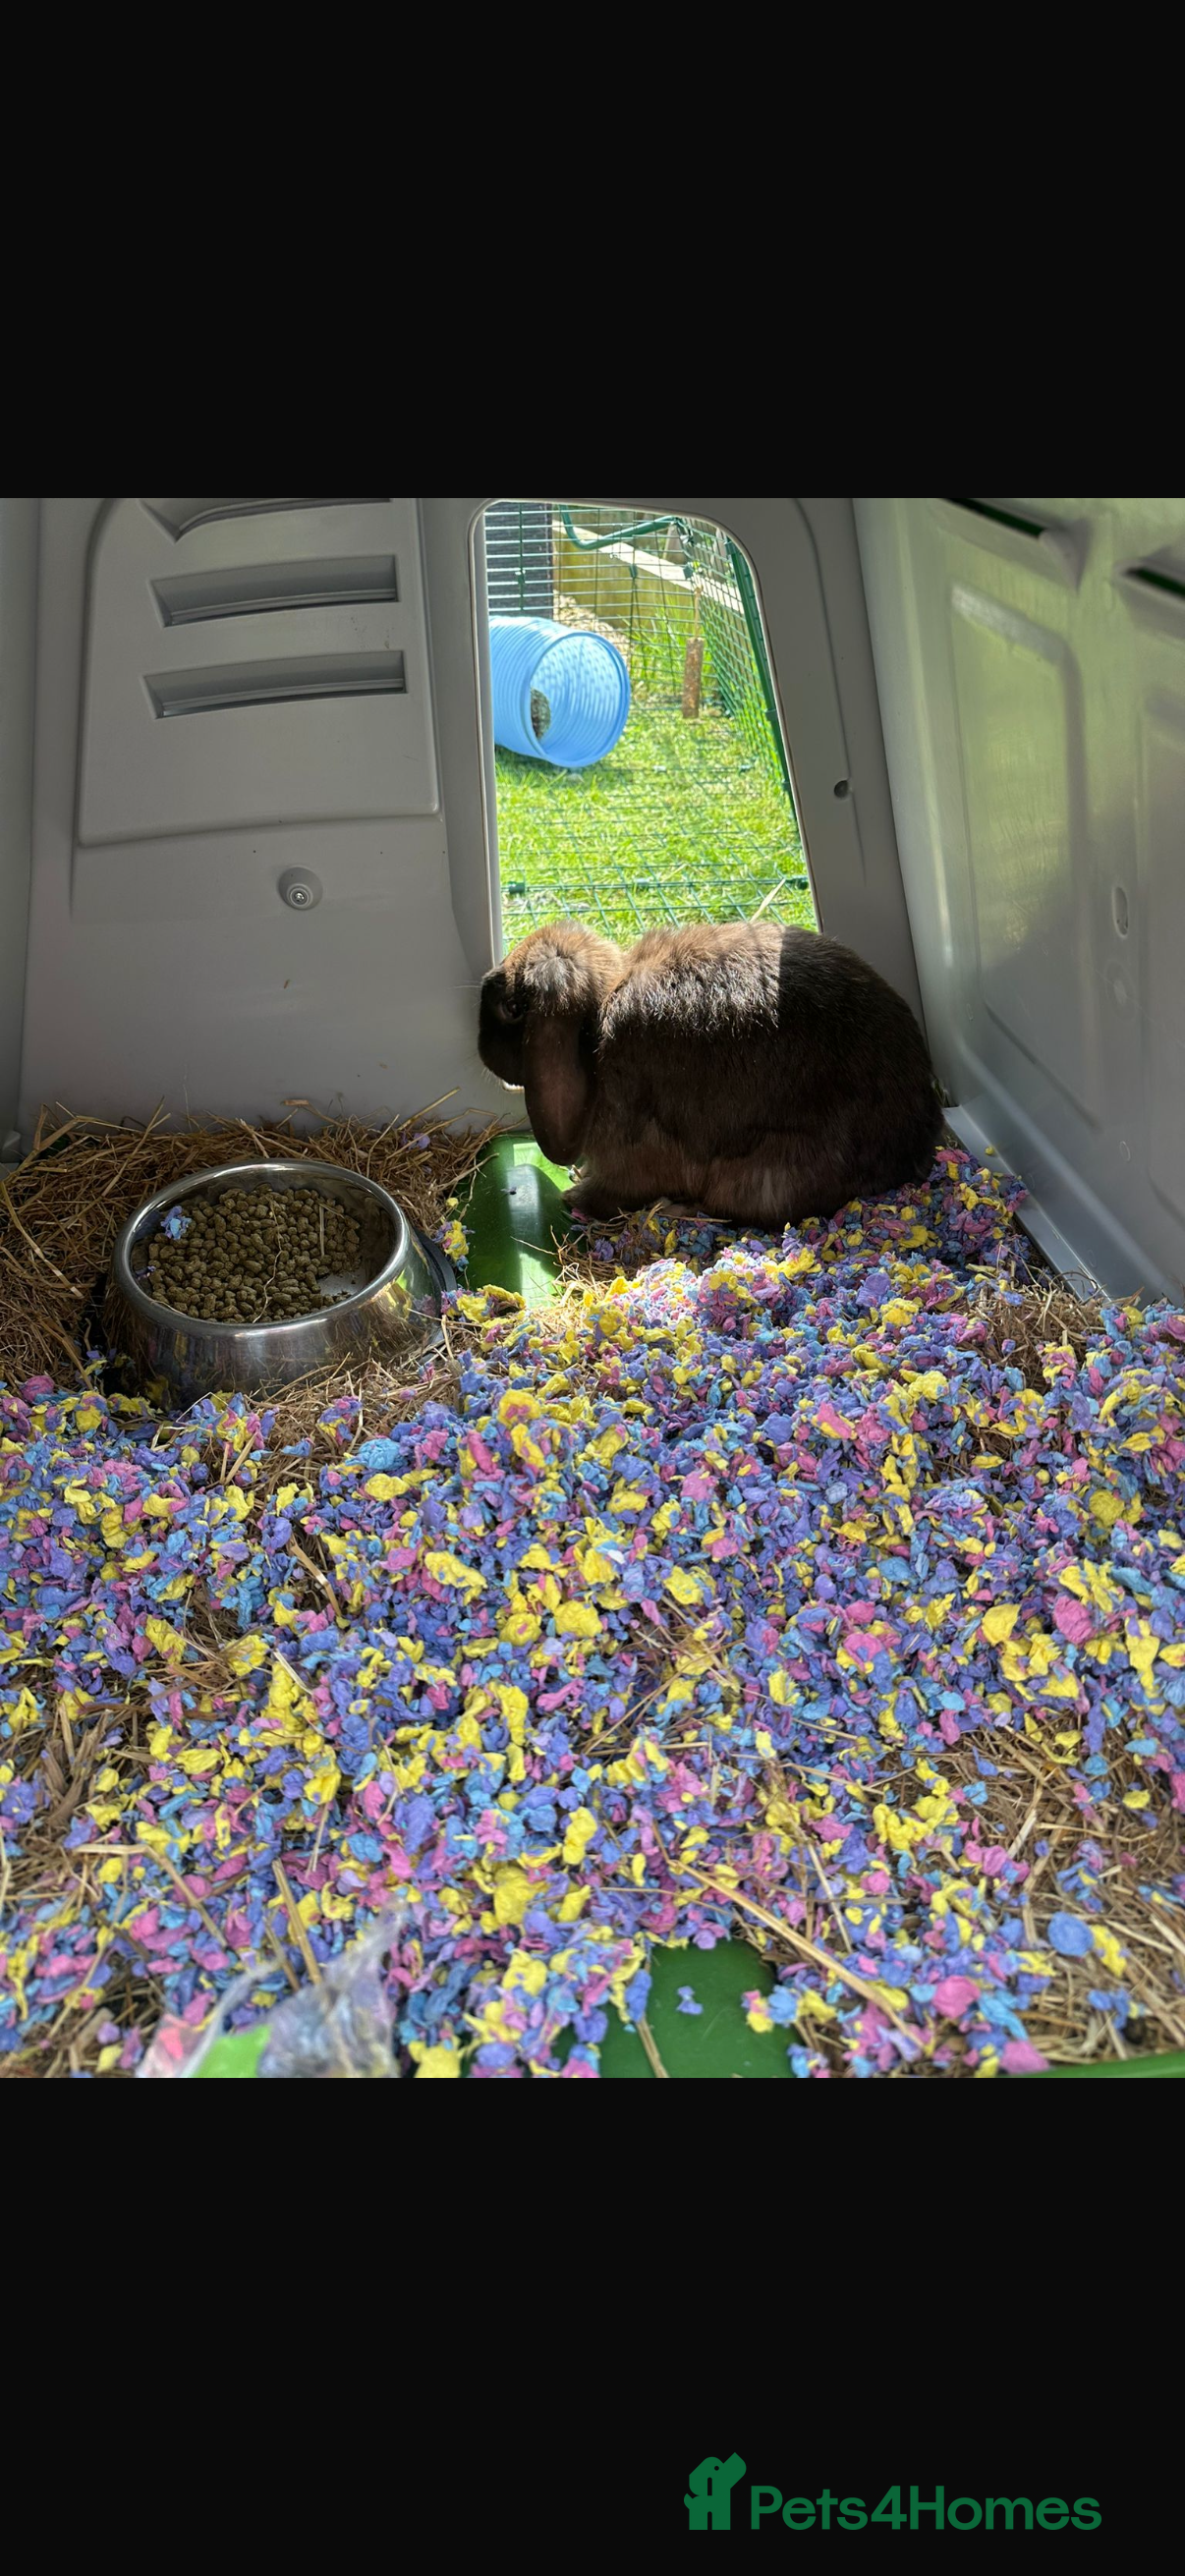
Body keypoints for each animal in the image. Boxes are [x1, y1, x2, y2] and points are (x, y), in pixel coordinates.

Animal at [477, 918, 943, 1225]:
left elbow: (615, 1189)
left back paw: (678, 1209)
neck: (594, 1025)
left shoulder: (631, 1154)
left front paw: (575, 1195)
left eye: (512, 1007)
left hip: (759, 1176)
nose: (481, 1050)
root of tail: (915, 1150)